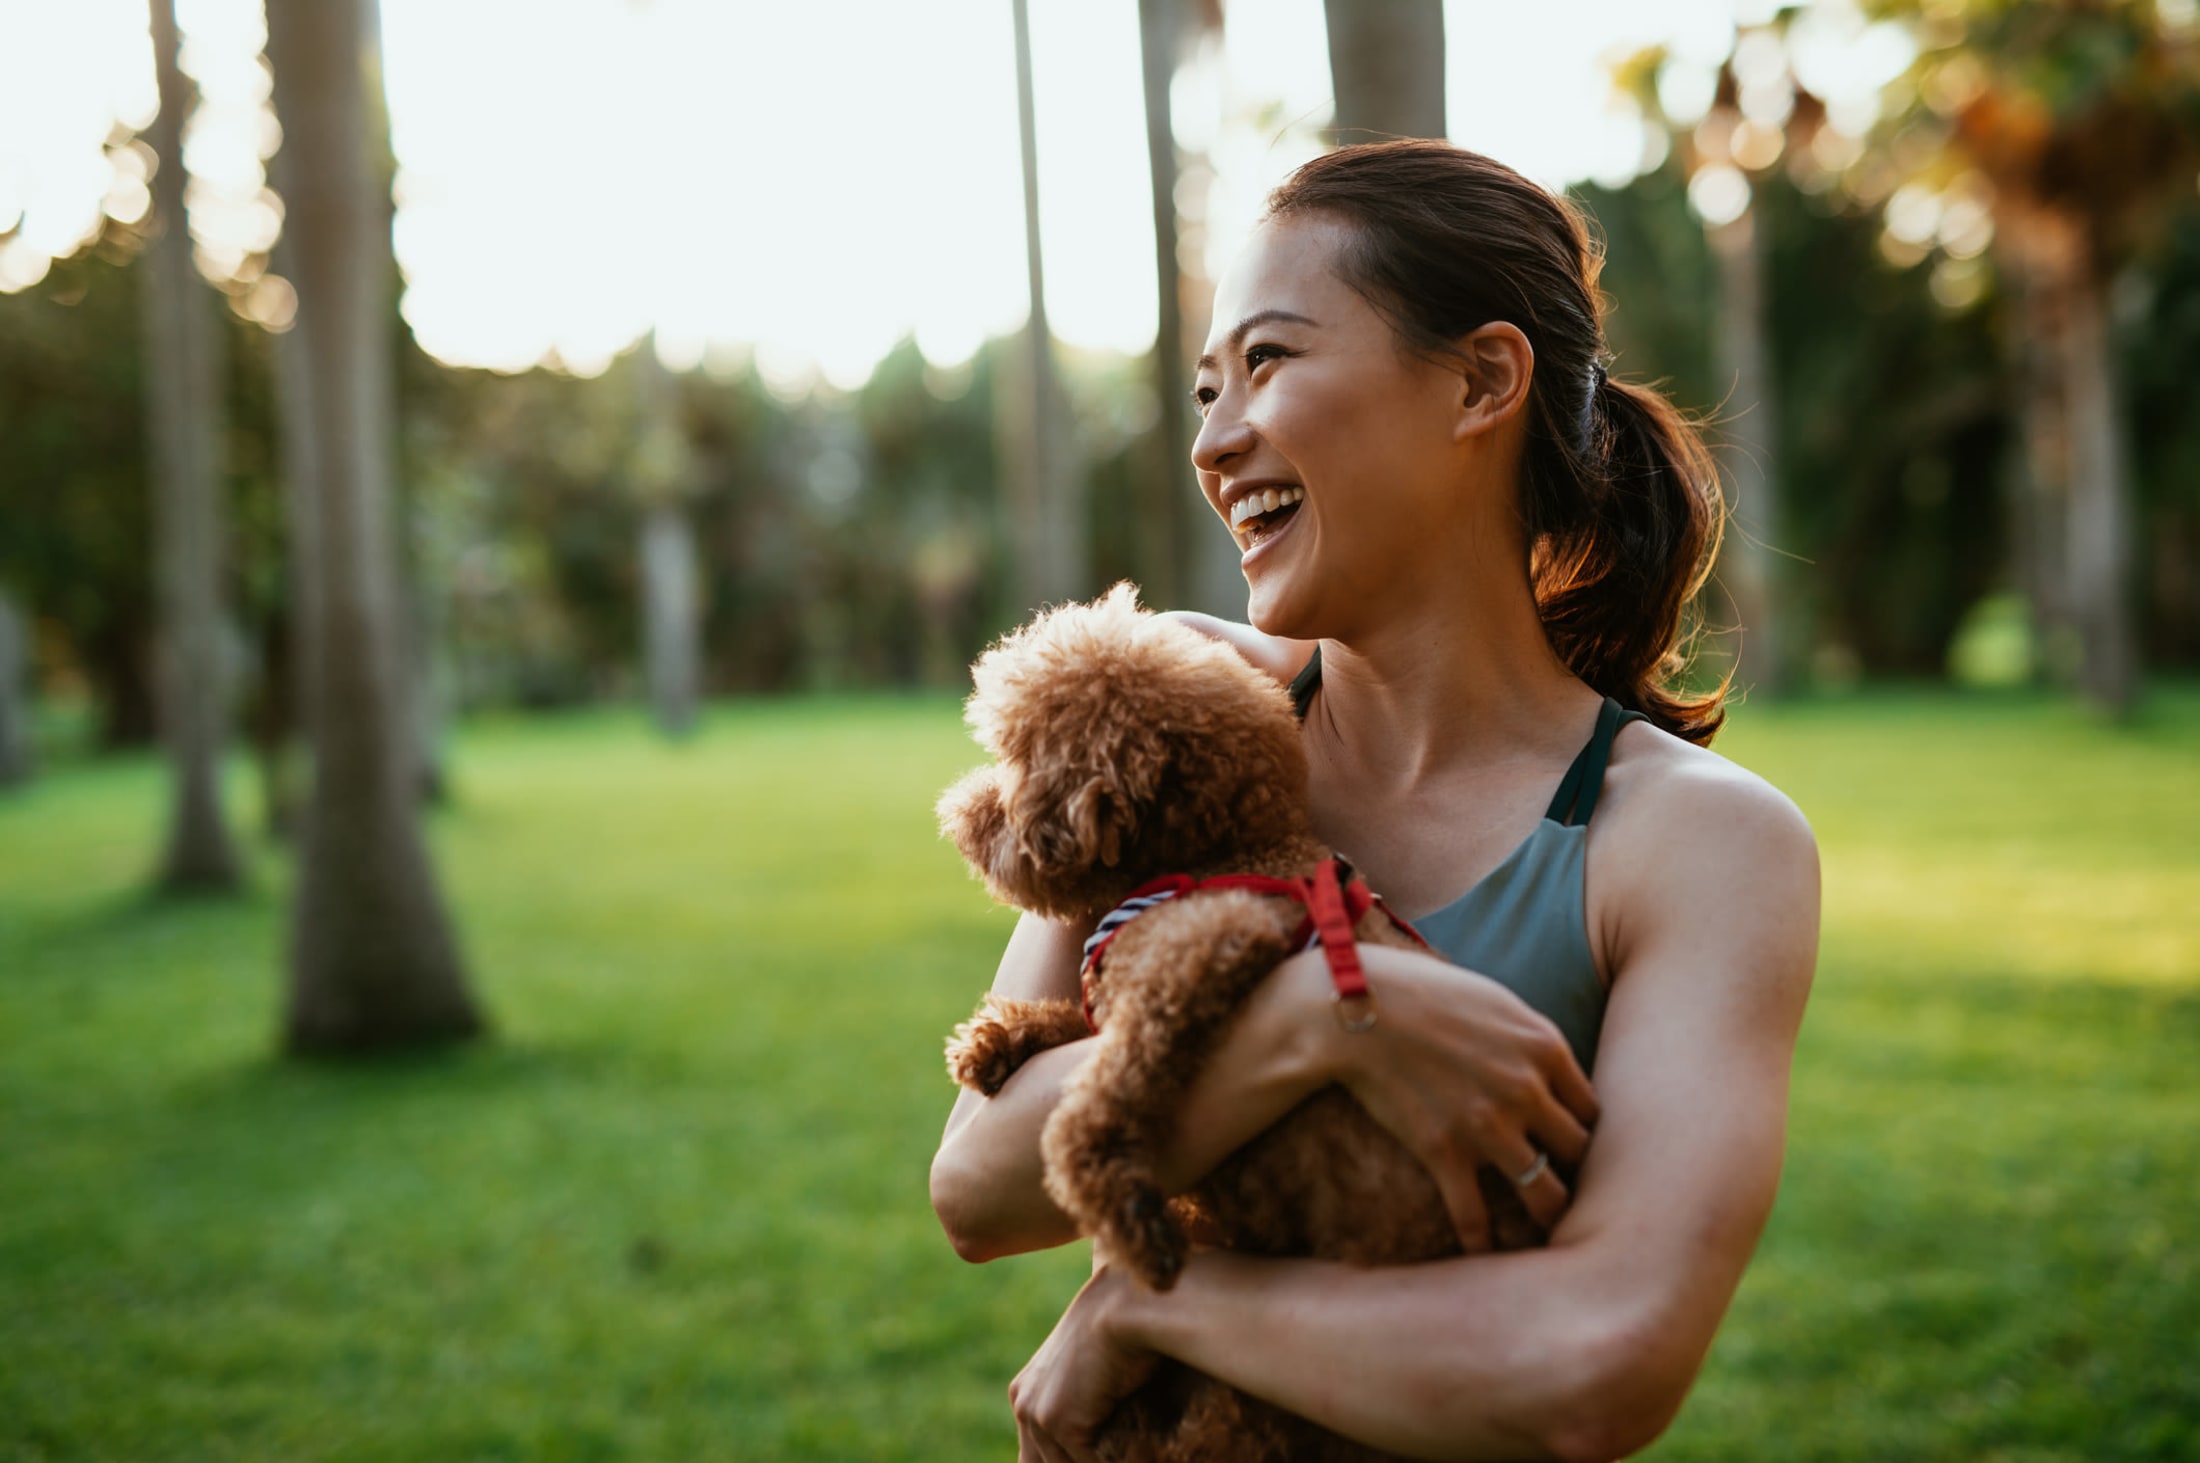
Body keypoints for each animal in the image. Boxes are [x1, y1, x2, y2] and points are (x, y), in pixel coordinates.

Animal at [937, 580, 1540, 1460]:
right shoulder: (1132, 977)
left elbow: (1100, 1095)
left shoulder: (1205, 951)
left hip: (1277, 1379)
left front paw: (1122, 1209)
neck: (1218, 854)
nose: (958, 809)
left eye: (1017, 764)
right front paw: (998, 1039)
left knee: (1215, 1428)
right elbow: (1085, 1025)